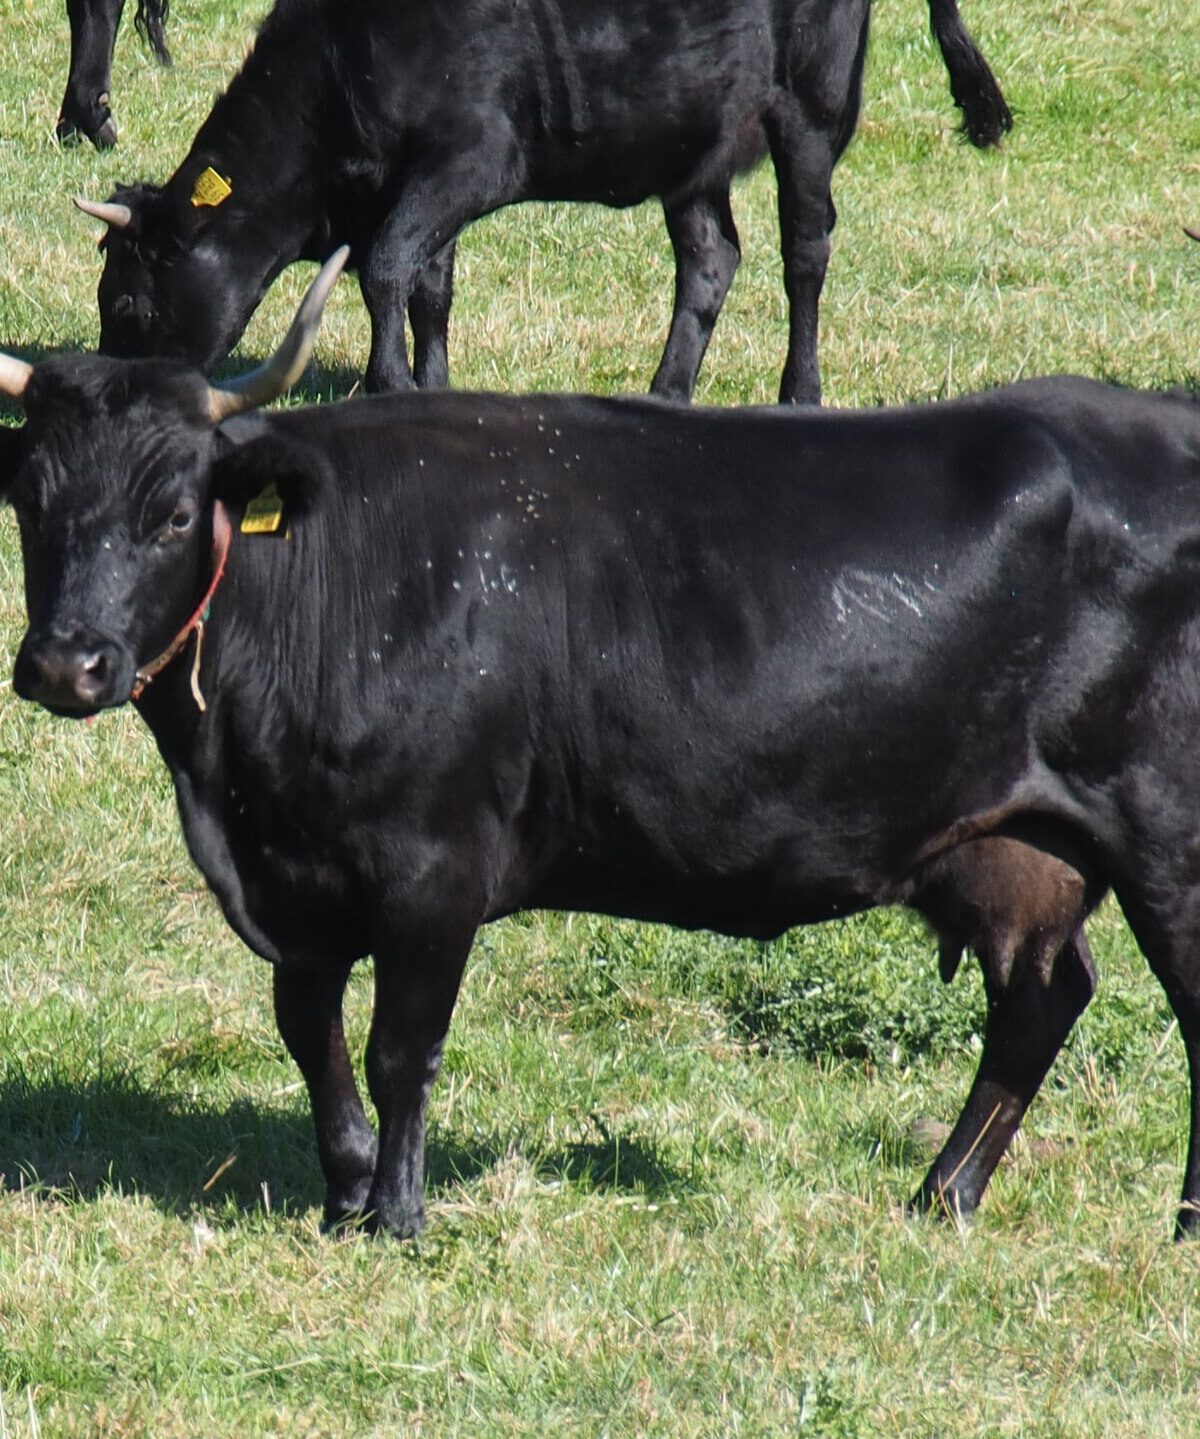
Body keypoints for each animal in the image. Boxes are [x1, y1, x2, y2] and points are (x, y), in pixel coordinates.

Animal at [8, 254, 1200, 1244]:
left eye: (174, 513)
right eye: (29, 505)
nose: (65, 665)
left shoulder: (433, 867)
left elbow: (402, 1047)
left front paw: (398, 1215)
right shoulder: (300, 877)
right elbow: (310, 1030)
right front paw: (343, 1193)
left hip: (1165, 833)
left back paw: (1176, 1223)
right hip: (1018, 846)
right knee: (1040, 999)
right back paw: (942, 1193)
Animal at [76, 0, 1011, 406]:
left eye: (129, 304)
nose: (110, 400)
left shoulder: (471, 158)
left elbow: (384, 268)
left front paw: (390, 386)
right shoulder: (426, 183)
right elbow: (429, 287)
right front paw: (435, 386)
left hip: (810, 114)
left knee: (805, 255)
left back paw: (799, 393)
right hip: (693, 144)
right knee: (711, 258)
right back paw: (665, 392)